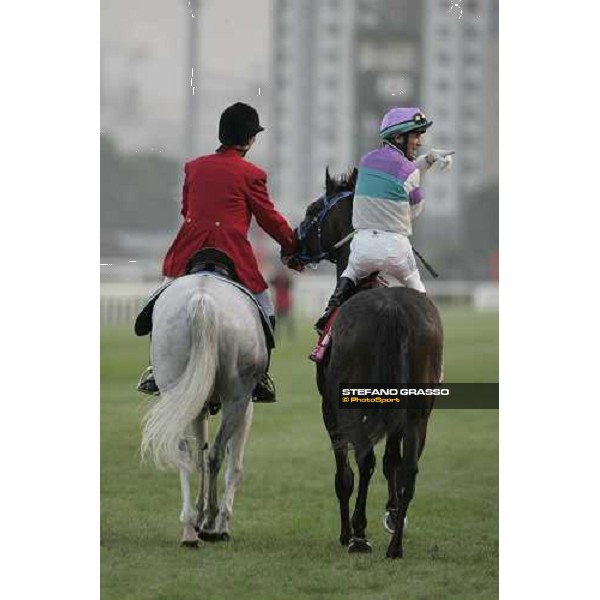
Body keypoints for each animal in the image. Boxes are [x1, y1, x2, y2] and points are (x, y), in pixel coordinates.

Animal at [141, 274, 268, 548]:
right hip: (236, 400)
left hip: (178, 394)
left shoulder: (197, 406)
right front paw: (220, 522)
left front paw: (201, 516)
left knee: (187, 454)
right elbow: (234, 467)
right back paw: (209, 523)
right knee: (215, 455)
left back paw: (190, 527)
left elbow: (199, 459)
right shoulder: (246, 406)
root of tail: (203, 297)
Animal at [292, 168, 442, 556]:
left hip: (352, 401)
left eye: (312, 208)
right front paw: (391, 513)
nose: (289, 248)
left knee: (365, 460)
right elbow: (393, 462)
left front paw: (350, 532)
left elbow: (346, 472)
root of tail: (392, 311)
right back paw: (396, 545)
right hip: (419, 406)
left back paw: (359, 534)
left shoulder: (330, 406)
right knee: (408, 467)